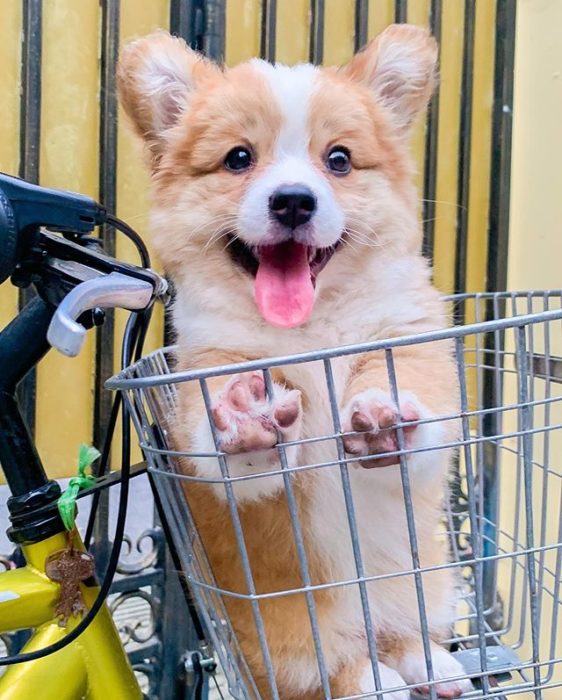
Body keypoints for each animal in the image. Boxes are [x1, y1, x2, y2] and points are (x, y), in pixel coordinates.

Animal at [120, 26, 470, 700]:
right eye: (237, 158)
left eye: (339, 159)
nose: (292, 202)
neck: (310, 331)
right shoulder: (210, 377)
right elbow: (232, 448)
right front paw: (246, 414)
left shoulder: (409, 344)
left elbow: (413, 403)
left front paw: (384, 413)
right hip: (293, 645)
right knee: (342, 670)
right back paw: (378, 677)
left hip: (428, 583)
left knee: (407, 632)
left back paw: (431, 665)